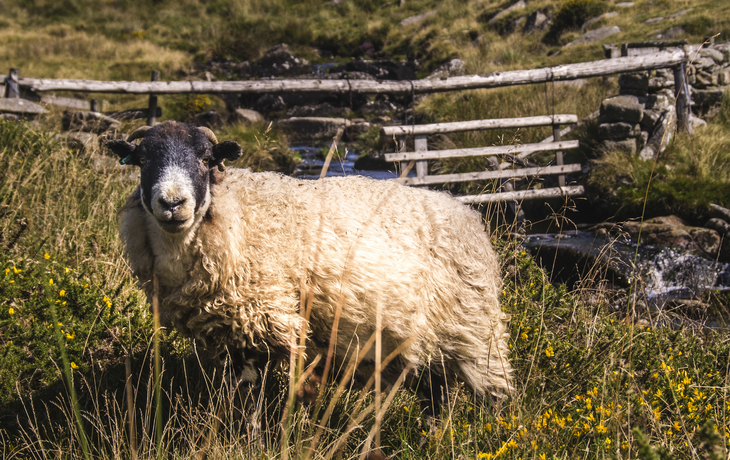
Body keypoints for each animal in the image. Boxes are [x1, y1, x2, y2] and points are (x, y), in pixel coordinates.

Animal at [106, 120, 512, 416]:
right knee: (436, 397)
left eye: (206, 160)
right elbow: (240, 398)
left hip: (477, 334)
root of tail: (467, 214)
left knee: (495, 396)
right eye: (143, 161)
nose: (173, 203)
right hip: (431, 344)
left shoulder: (268, 322)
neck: (236, 216)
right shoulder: (235, 335)